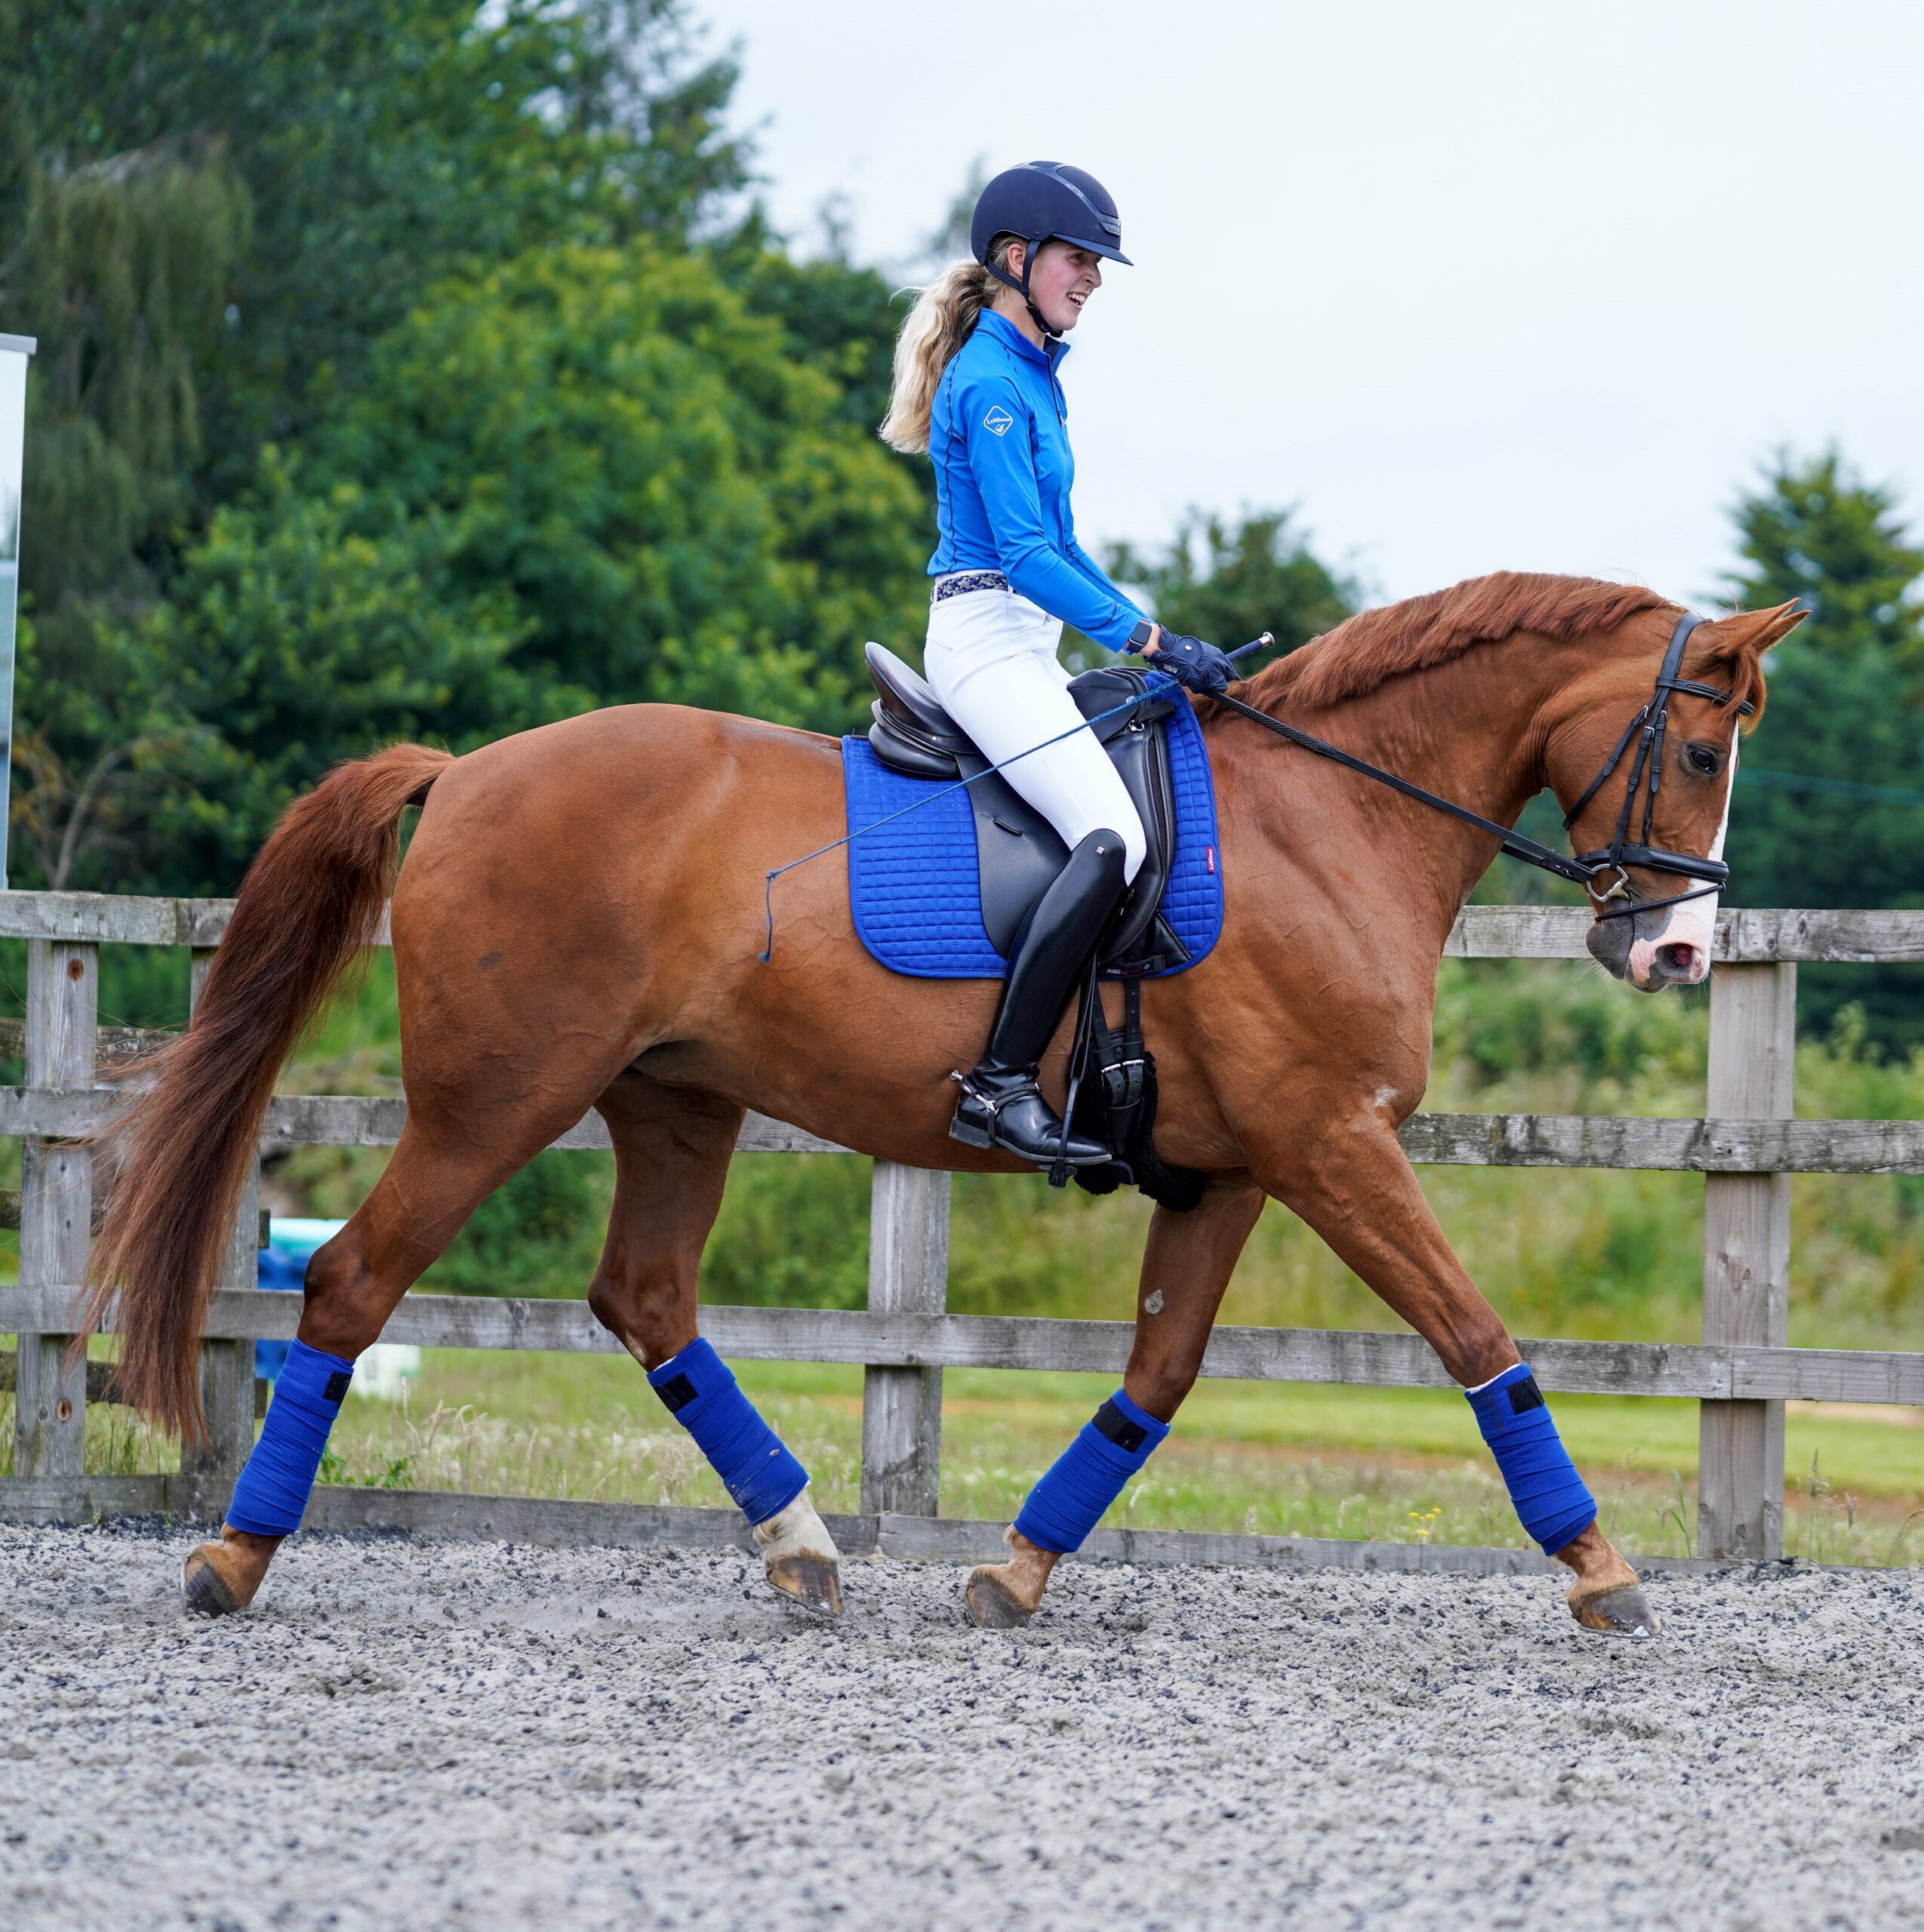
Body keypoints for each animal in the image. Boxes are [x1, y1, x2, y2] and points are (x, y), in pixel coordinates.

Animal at [84, 570, 1799, 1629]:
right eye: (1699, 749)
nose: (1672, 949)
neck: (1331, 816)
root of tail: (466, 768)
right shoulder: (1330, 1142)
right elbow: (1475, 1336)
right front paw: (1597, 1567)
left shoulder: (1234, 1168)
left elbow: (1153, 1381)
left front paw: (1017, 1572)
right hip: (489, 1102)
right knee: (353, 1282)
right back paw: (233, 1555)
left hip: (672, 1102)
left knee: (645, 1297)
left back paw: (799, 1548)